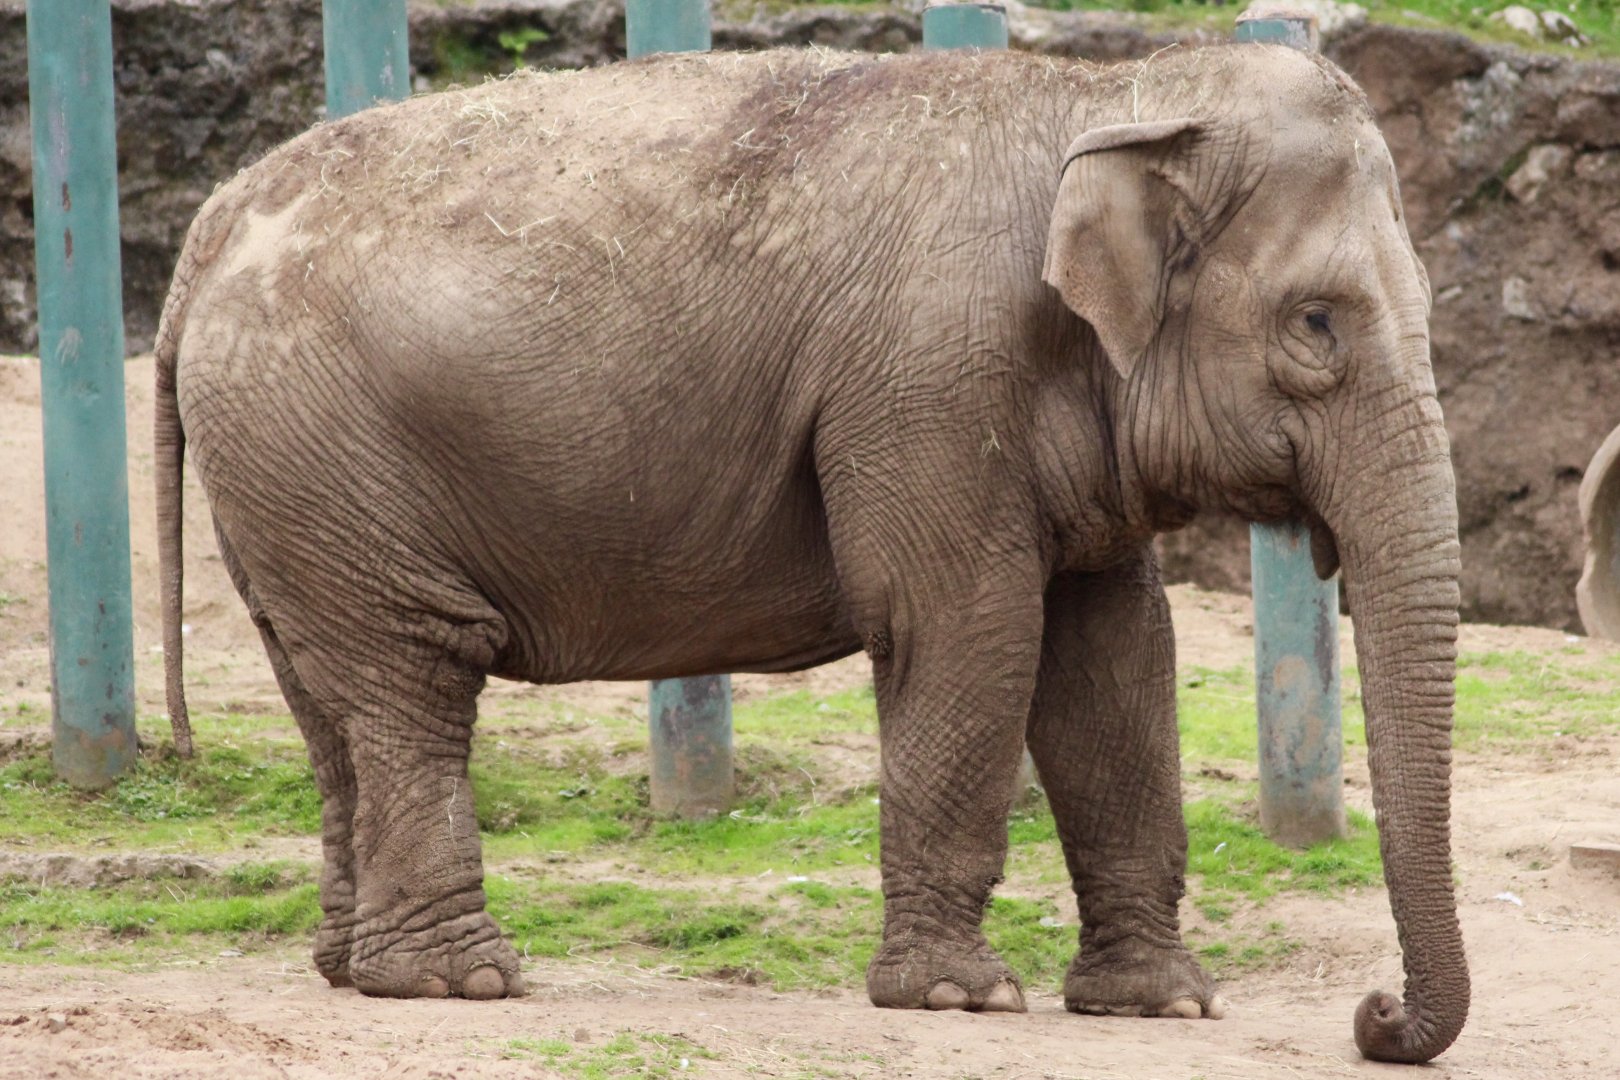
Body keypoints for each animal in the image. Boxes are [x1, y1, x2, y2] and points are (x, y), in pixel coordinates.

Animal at [154, 44, 1468, 1063]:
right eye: (1316, 325)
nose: (1374, 1015)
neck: (1105, 95)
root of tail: (206, 230)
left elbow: (1113, 662)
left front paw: (1161, 1007)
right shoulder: (928, 380)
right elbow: (967, 629)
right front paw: (959, 999)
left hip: (288, 486)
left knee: (329, 701)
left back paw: (351, 966)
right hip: (322, 449)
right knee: (413, 679)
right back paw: (457, 980)